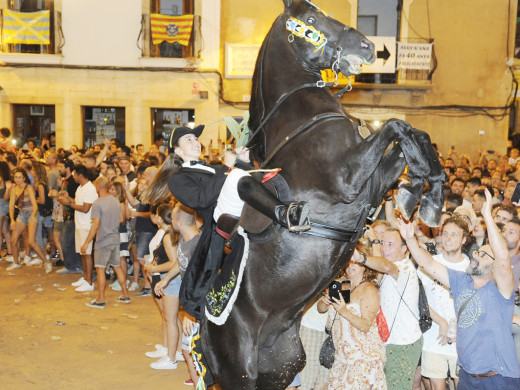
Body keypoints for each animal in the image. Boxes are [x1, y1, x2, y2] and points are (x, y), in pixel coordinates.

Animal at [201, 1, 444, 388]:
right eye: (311, 20)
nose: (367, 47)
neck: (303, 118)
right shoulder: (347, 179)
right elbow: (396, 125)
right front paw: (423, 194)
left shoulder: (374, 179)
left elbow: (412, 132)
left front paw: (425, 189)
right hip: (239, 374)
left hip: (282, 367)